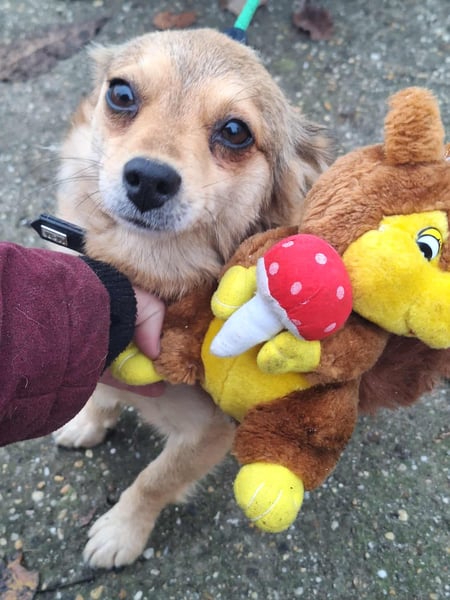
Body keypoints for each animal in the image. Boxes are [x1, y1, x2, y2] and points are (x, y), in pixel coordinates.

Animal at [54, 28, 332, 569]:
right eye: (121, 94)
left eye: (235, 131)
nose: (149, 177)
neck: (143, 271)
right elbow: (100, 392)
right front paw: (87, 421)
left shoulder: (208, 434)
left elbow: (154, 481)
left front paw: (122, 531)